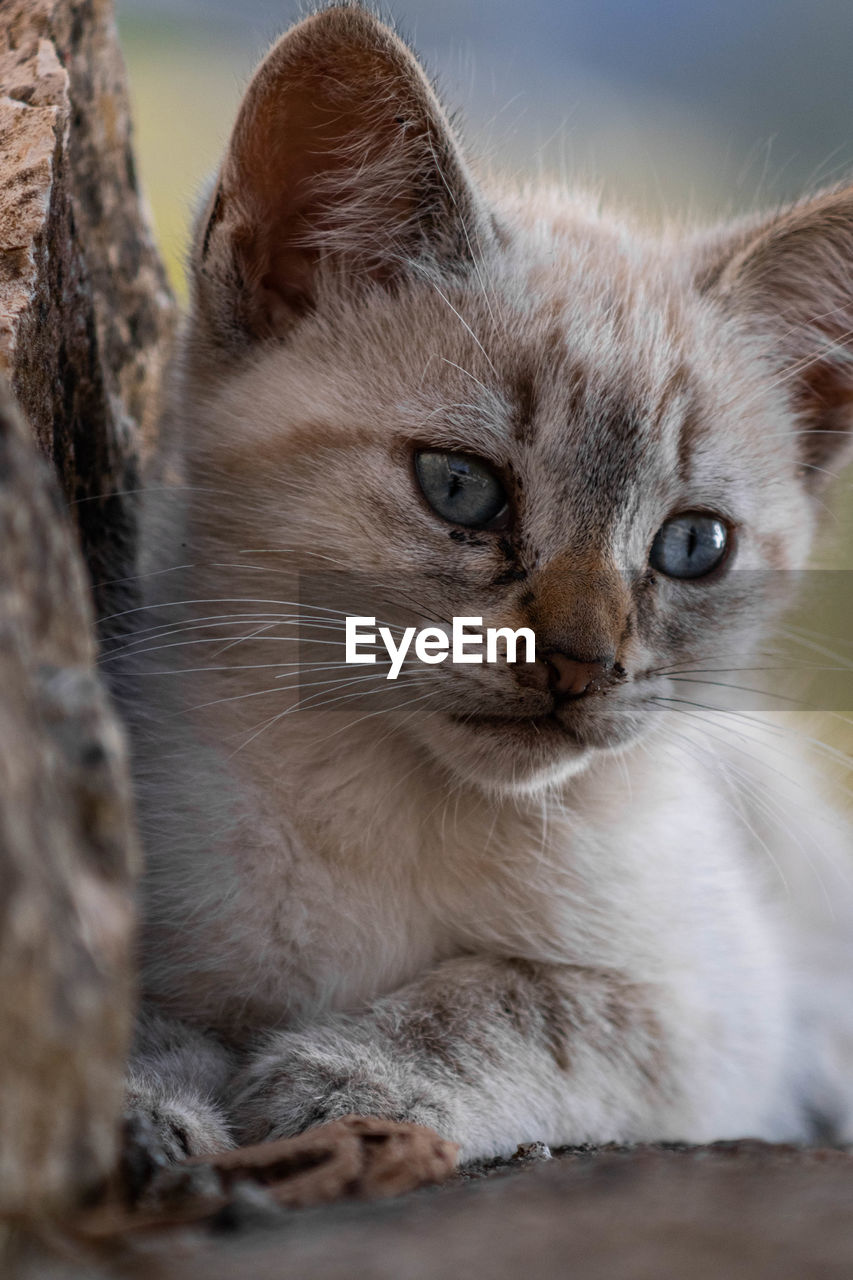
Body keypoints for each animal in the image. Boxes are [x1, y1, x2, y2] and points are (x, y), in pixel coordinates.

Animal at [119, 0, 850, 1167]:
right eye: (461, 488)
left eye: (693, 546)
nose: (582, 663)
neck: (381, 798)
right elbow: (143, 1021)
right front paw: (150, 1102)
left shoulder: (706, 1012)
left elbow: (512, 1002)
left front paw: (342, 1081)